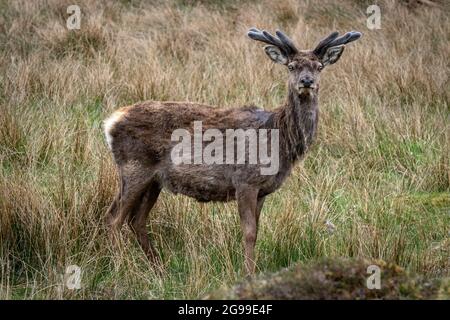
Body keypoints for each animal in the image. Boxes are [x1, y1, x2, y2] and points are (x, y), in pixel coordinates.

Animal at [103, 27, 360, 274]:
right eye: (291, 66)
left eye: (319, 67)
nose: (306, 81)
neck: (279, 139)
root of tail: (111, 122)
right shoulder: (245, 180)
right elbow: (249, 232)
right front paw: (248, 273)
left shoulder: (263, 190)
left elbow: (257, 231)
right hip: (134, 167)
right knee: (113, 218)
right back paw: (121, 268)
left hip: (154, 180)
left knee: (136, 220)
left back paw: (158, 269)